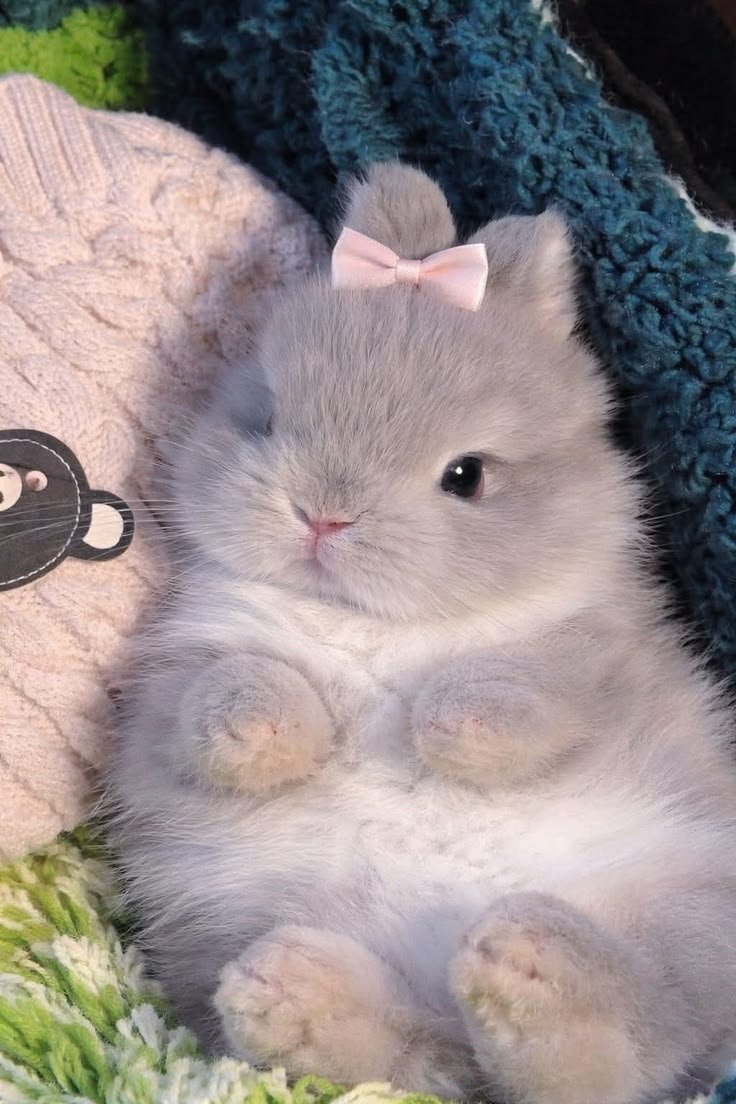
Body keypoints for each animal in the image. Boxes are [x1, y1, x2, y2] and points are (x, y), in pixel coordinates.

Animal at [109, 163, 736, 1104]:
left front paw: (442, 730)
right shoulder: (175, 677)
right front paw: (272, 733)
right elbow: (223, 692)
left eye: (466, 476)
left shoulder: (597, 652)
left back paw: (530, 968)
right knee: (416, 1053)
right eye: (266, 419)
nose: (322, 517)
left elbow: (526, 687)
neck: (374, 625)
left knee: (639, 1040)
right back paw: (290, 993)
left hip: (687, 912)